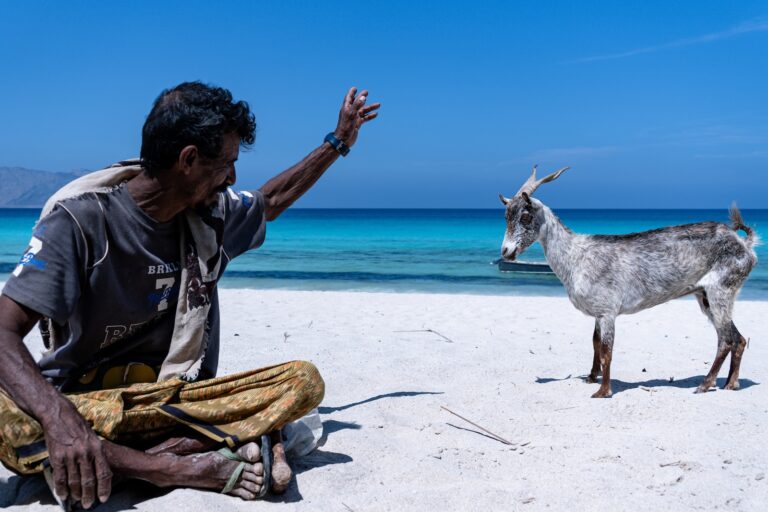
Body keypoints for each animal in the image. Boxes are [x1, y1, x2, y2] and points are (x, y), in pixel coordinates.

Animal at [499, 166, 757, 397]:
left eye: (525, 216)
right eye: (506, 216)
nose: (506, 251)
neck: (576, 256)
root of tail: (745, 245)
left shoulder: (607, 311)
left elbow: (607, 350)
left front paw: (603, 391)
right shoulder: (598, 312)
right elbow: (594, 343)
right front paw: (591, 377)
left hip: (720, 290)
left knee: (725, 339)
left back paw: (705, 384)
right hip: (705, 296)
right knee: (739, 339)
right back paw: (731, 384)